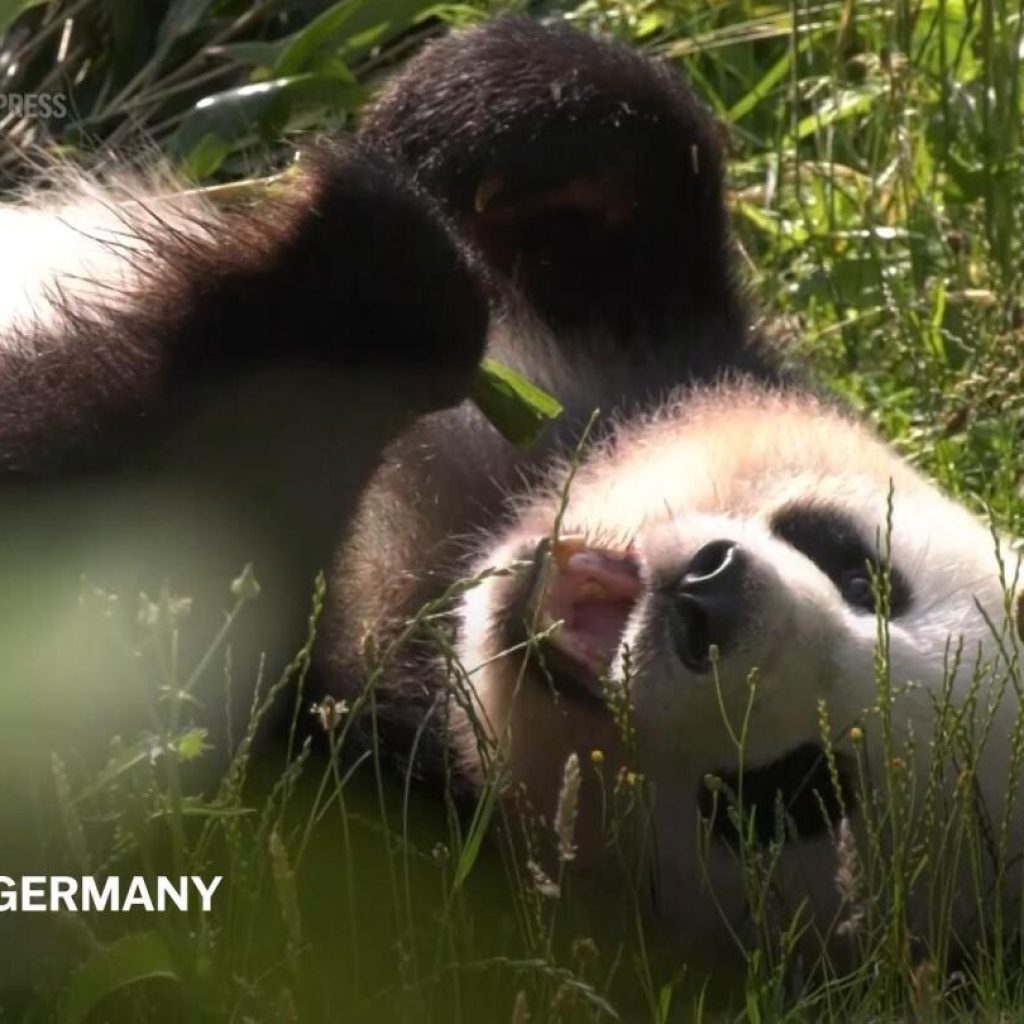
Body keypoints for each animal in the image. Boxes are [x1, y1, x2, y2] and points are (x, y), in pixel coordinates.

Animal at [0, 12, 1019, 962]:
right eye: (858, 569)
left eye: (791, 794)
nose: (710, 600)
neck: (455, 568)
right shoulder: (656, 348)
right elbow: (622, 147)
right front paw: (470, 132)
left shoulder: (370, 857)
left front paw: (377, 288)